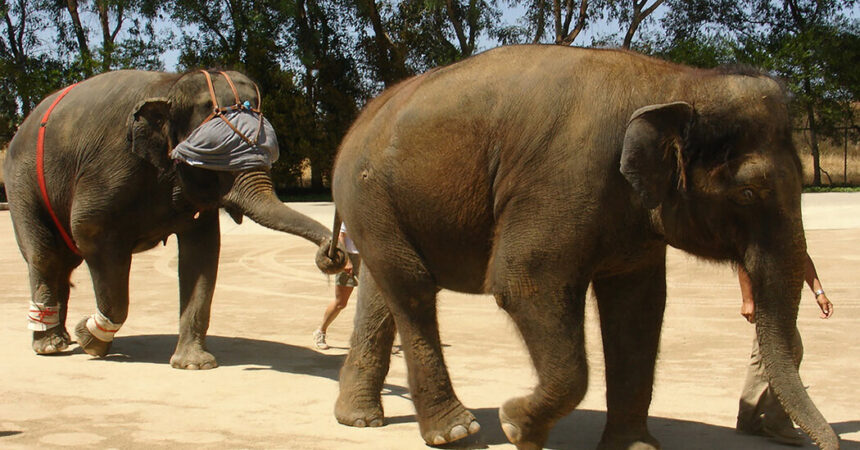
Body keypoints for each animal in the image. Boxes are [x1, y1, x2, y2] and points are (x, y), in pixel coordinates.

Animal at [330, 45, 840, 450]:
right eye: (749, 193)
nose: (827, 443)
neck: (676, 81)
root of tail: (357, 123)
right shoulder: (562, 180)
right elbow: (523, 283)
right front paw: (516, 426)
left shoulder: (633, 221)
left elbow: (638, 309)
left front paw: (634, 448)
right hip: (368, 191)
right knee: (412, 287)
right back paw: (456, 433)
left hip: (377, 205)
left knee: (383, 290)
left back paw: (359, 419)